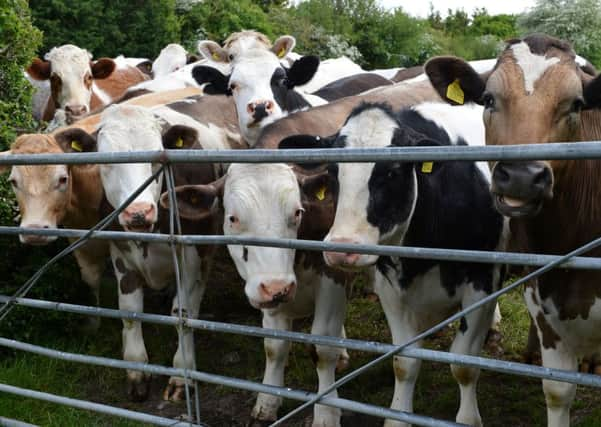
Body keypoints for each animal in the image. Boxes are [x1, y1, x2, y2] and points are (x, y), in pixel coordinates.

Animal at [164, 162, 352, 426]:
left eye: (297, 213)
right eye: (233, 218)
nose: (277, 286)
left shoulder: (333, 277)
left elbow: (323, 347)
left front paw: (326, 414)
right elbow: (274, 346)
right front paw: (267, 403)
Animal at [278, 101, 506, 427]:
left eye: (393, 171)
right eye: (333, 170)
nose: (343, 248)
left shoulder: (482, 281)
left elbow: (463, 364)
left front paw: (467, 420)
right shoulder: (390, 287)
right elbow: (404, 362)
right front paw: (398, 417)